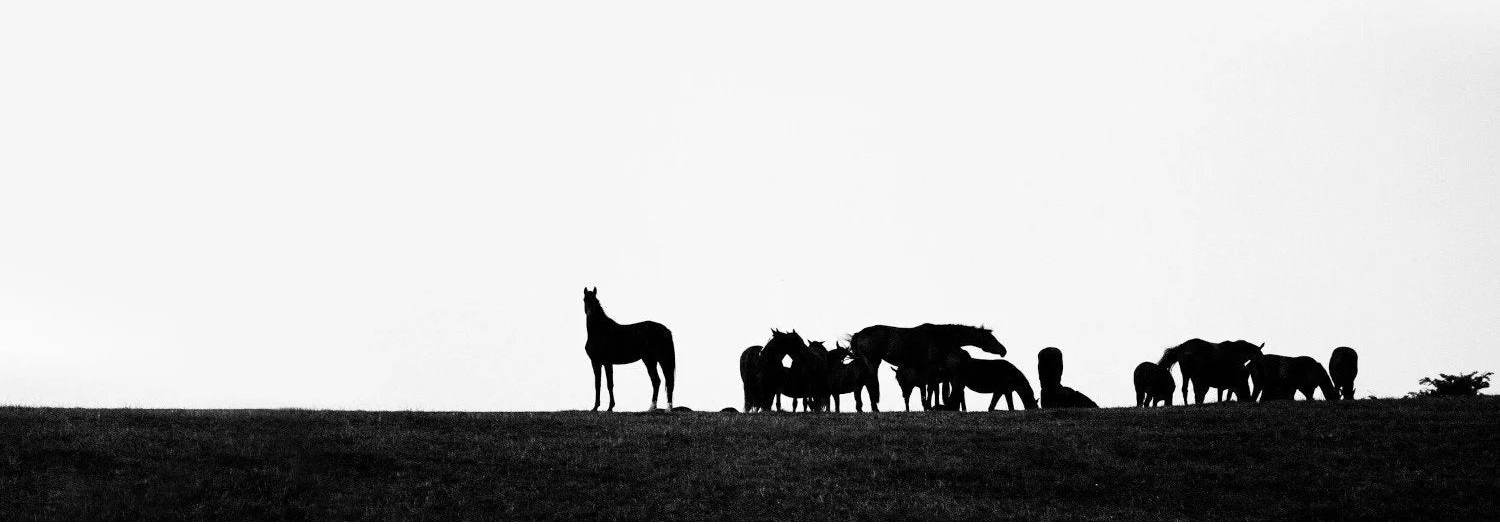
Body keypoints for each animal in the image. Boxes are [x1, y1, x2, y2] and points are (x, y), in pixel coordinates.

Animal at [850, 323, 1007, 411]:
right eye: (991, 338)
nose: (1003, 350)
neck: (940, 336)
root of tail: (858, 335)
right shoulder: (930, 368)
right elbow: (930, 388)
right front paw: (928, 407)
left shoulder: (930, 370)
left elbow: (930, 389)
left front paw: (929, 406)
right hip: (872, 361)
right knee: (870, 383)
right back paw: (875, 408)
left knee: (861, 384)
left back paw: (861, 408)